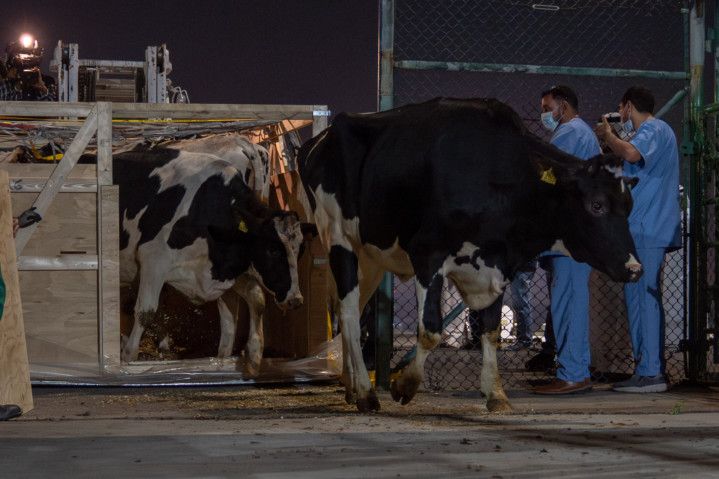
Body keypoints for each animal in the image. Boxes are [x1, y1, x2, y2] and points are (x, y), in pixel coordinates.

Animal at [114, 143, 305, 374]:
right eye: (272, 250)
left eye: (300, 250)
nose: (296, 300)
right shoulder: (153, 260)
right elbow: (146, 311)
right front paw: (128, 358)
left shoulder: (226, 270)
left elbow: (252, 302)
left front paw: (252, 354)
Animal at [297, 97, 643, 413]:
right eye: (596, 205)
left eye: (629, 206)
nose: (636, 268)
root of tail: (320, 140)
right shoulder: (427, 254)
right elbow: (431, 330)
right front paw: (405, 385)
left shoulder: (498, 265)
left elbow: (490, 329)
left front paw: (495, 393)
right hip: (338, 238)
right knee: (349, 312)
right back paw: (366, 394)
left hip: (370, 255)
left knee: (353, 310)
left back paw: (351, 386)